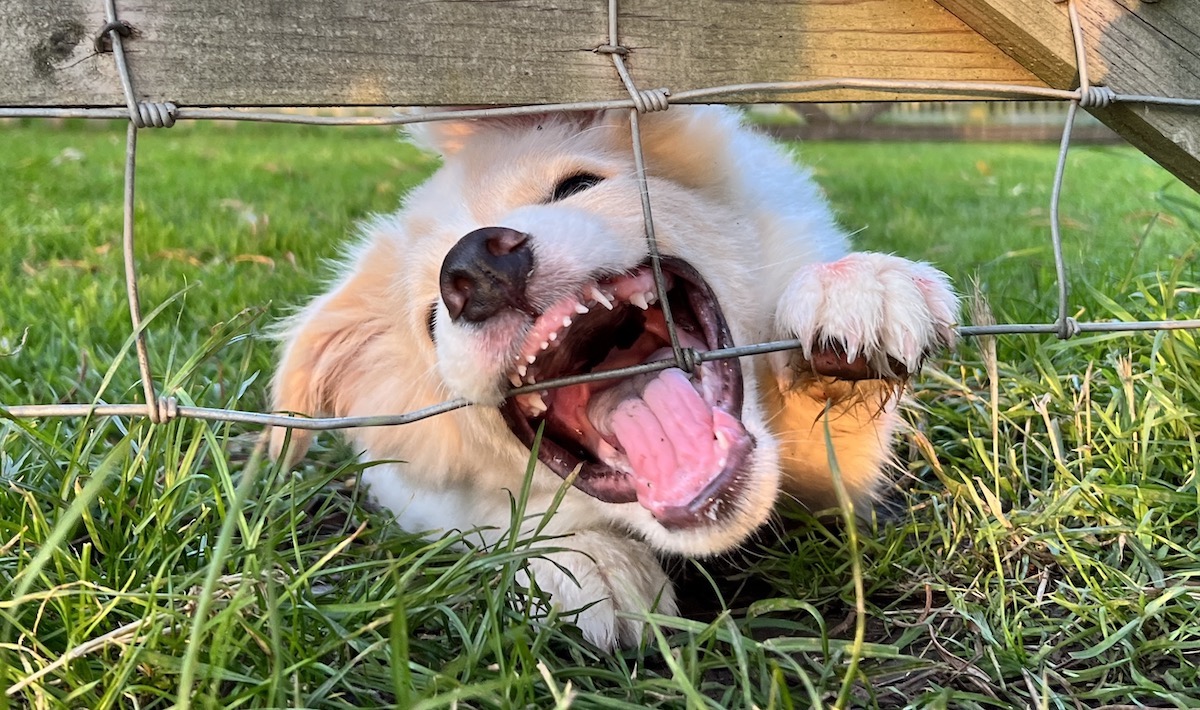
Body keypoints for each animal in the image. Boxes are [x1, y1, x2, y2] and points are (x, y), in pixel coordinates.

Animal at [272, 105, 955, 647]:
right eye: (431, 319)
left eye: (576, 185)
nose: (475, 268)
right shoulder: (413, 492)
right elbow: (491, 519)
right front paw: (585, 563)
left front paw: (853, 290)